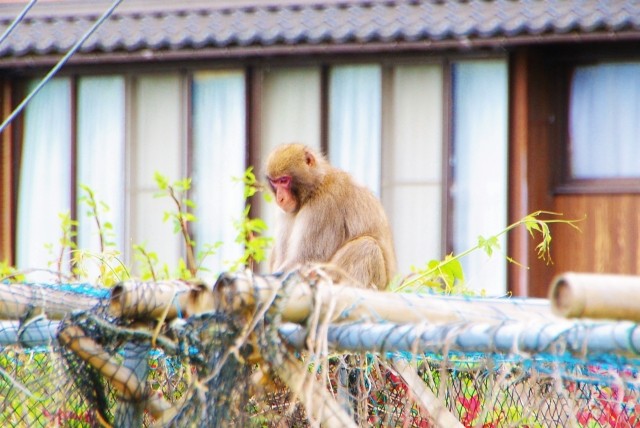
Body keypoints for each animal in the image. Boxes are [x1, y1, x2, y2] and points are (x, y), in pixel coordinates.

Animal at [264, 145, 396, 290]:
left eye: (284, 180)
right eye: (274, 182)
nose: (280, 198)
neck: (315, 186)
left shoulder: (323, 206)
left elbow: (307, 259)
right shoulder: (286, 212)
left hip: (377, 281)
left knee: (366, 246)